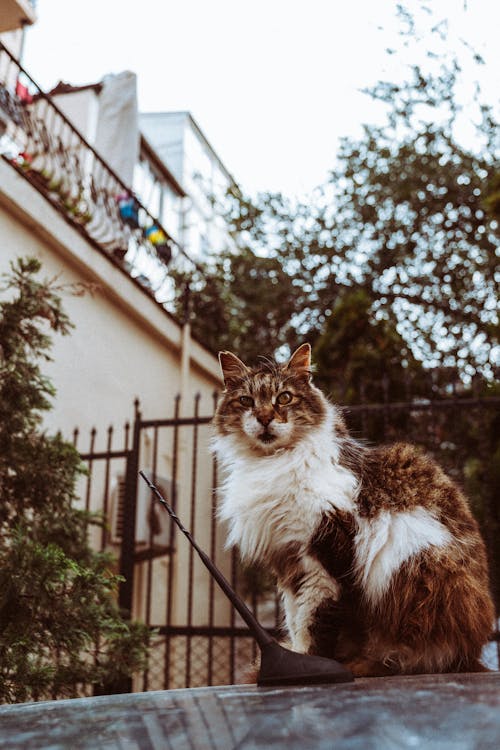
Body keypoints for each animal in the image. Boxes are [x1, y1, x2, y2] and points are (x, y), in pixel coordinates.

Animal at [213, 344, 494, 680]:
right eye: (246, 401)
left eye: (284, 398)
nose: (265, 418)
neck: (272, 462)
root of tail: (471, 654)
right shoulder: (289, 564)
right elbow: (296, 618)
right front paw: (295, 659)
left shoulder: (323, 558)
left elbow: (315, 622)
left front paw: (309, 664)